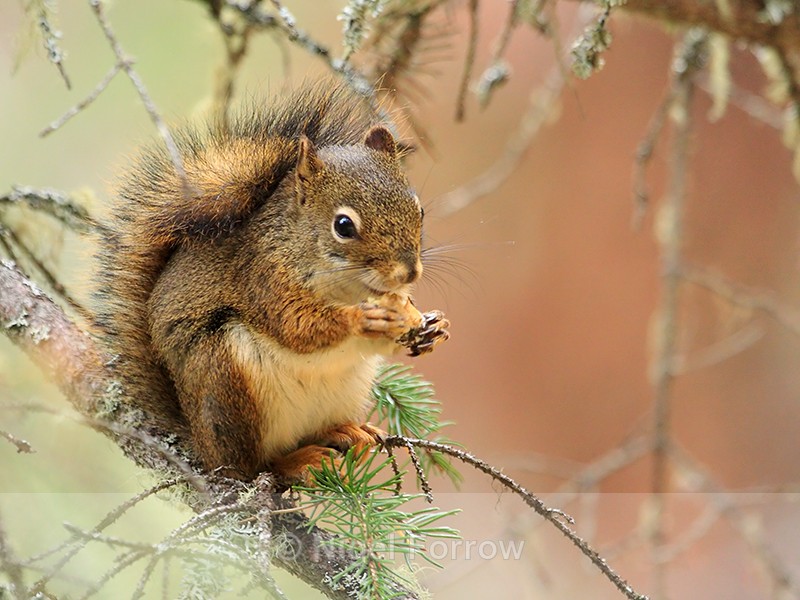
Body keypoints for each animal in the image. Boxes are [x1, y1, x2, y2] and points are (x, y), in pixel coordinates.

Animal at [95, 82, 450, 481]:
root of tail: (200, 445)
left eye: (419, 210)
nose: (409, 273)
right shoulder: (262, 279)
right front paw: (360, 318)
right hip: (225, 381)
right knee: (252, 468)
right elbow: (296, 327)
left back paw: (346, 431)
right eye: (343, 225)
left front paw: (433, 325)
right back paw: (296, 461)